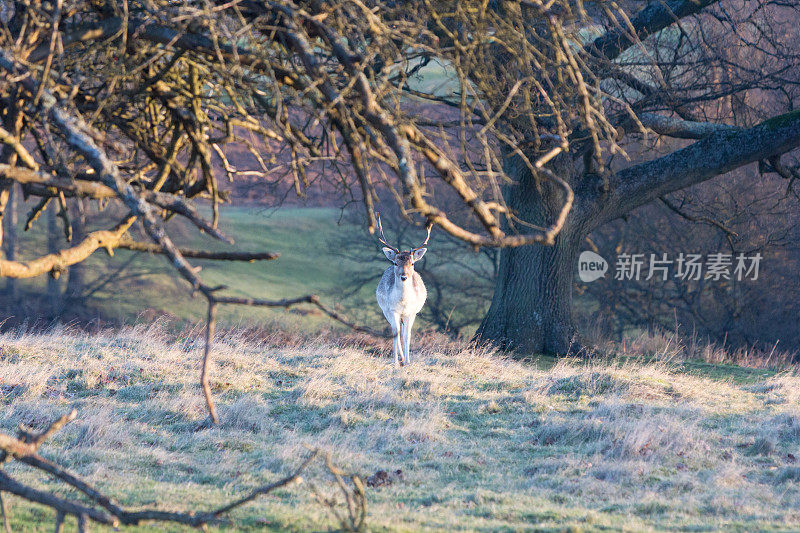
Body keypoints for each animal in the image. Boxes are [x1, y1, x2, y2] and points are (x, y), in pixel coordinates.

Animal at [376, 213, 432, 366]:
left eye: (412, 263)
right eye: (396, 263)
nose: (404, 276)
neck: (403, 302)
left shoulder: (411, 312)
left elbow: (407, 335)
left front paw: (407, 361)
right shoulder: (392, 310)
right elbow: (396, 334)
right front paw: (397, 361)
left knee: (402, 331)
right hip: (386, 311)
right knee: (395, 330)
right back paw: (398, 359)